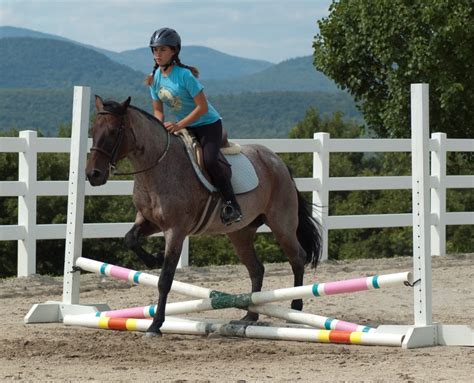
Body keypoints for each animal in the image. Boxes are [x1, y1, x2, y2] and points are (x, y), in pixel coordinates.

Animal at [85, 95, 322, 336]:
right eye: (92, 130)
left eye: (113, 131)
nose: (93, 174)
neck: (158, 168)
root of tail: (277, 161)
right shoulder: (148, 221)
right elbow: (130, 239)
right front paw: (154, 258)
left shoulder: (176, 230)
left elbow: (165, 279)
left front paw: (155, 325)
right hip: (240, 233)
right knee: (257, 269)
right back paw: (249, 316)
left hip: (282, 224)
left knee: (297, 258)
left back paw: (296, 309)